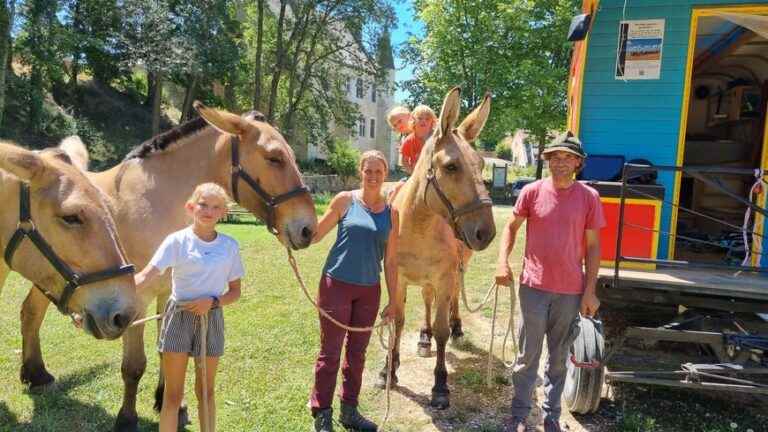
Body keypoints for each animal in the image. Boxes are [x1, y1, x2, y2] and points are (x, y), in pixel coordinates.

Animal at [18, 103, 318, 430]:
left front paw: (169, 401)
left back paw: (35, 374)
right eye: (274, 158)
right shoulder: (135, 300)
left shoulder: (169, 293)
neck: (154, 202)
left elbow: (166, 350)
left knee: (30, 312)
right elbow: (134, 366)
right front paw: (127, 418)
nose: (308, 229)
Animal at [376, 88, 496, 408]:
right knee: (427, 301)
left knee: (452, 299)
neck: (418, 225)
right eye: (451, 166)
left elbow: (442, 330)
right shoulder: (396, 278)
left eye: (482, 165)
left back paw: (456, 327)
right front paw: (389, 369)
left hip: (454, 273)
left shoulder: (444, 276)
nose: (486, 233)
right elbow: (397, 321)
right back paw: (423, 336)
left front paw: (440, 385)